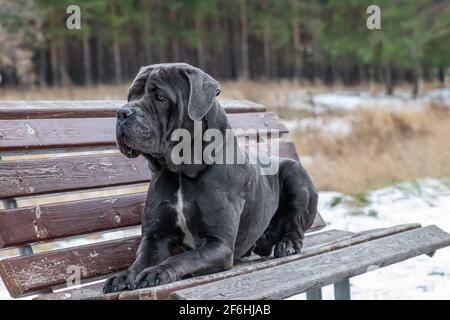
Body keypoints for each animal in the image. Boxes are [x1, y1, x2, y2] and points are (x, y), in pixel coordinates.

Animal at [103, 63, 318, 292]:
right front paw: (124, 276)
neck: (180, 173)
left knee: (295, 224)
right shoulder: (155, 238)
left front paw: (157, 272)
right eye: (131, 95)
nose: (122, 113)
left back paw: (288, 244)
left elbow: (183, 258)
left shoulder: (219, 244)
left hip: (295, 173)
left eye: (160, 97)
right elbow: (141, 260)